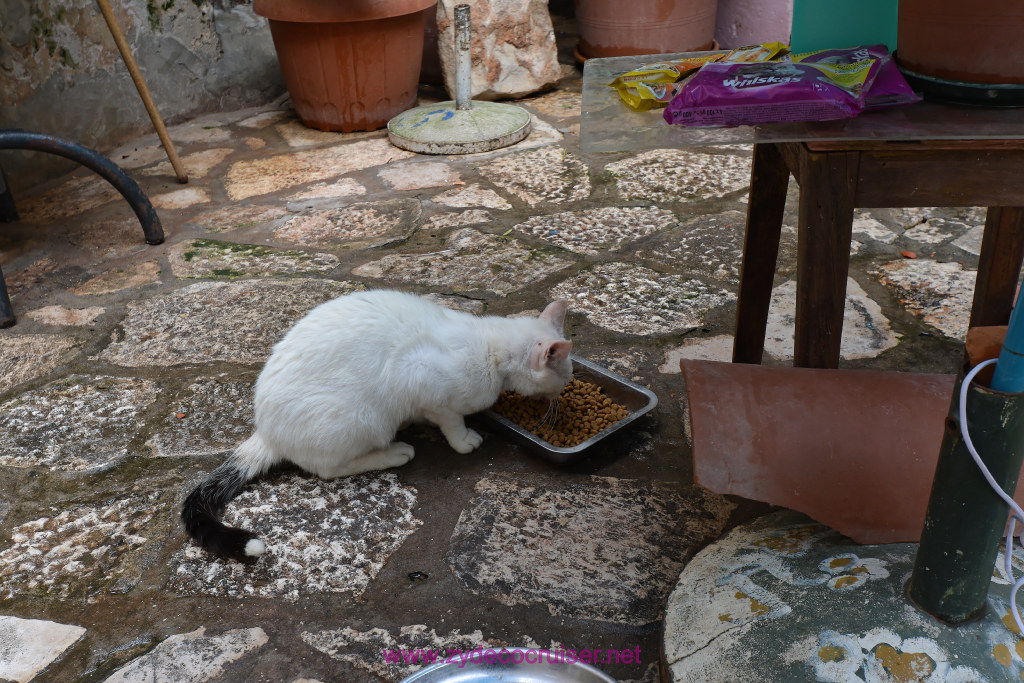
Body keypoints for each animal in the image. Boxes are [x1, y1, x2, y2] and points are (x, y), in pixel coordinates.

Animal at [180, 288, 573, 561]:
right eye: (565, 374)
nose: (564, 389)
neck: (491, 348)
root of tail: (265, 430)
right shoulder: (421, 378)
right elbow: (450, 419)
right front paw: (464, 440)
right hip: (363, 419)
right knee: (327, 469)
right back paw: (394, 452)